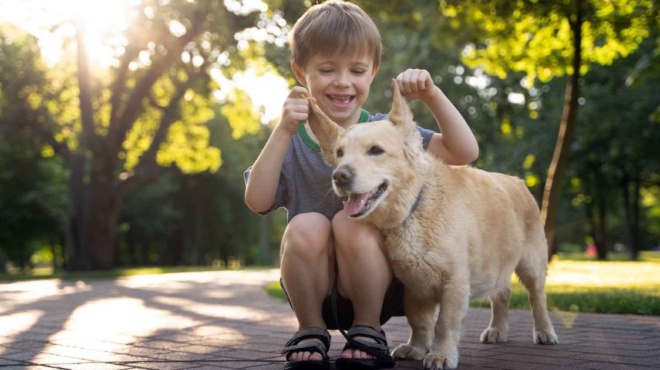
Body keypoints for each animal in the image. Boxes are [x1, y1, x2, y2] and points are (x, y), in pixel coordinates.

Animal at [306, 81, 560, 370]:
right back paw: (497, 329)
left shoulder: (455, 282)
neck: (415, 206)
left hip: (532, 265)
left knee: (538, 300)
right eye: (340, 153)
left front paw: (441, 354)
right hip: (496, 266)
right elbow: (419, 322)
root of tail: (518, 181)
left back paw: (544, 332)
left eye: (376, 150)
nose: (339, 176)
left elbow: (445, 324)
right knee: (502, 295)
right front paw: (416, 348)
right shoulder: (415, 285)